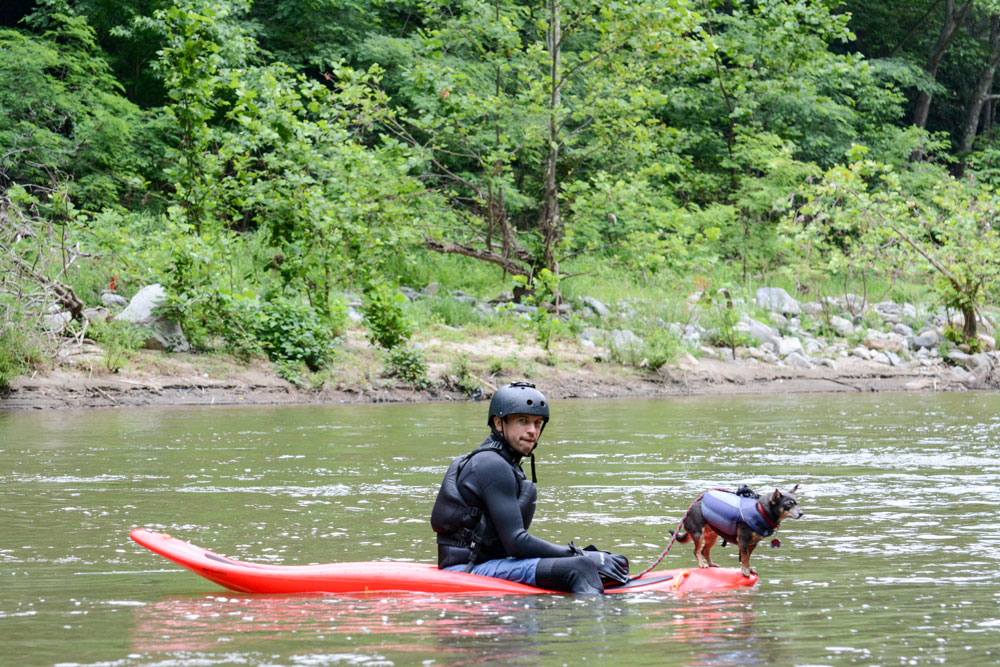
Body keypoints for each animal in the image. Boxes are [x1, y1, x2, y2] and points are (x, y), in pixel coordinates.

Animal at [672, 486, 804, 580]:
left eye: (796, 503)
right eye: (789, 504)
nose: (801, 513)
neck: (761, 511)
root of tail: (690, 508)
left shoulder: (752, 543)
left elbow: (748, 557)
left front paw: (749, 569)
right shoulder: (743, 540)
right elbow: (744, 557)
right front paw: (745, 571)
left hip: (712, 536)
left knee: (705, 551)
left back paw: (711, 564)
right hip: (699, 534)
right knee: (697, 550)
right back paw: (702, 564)